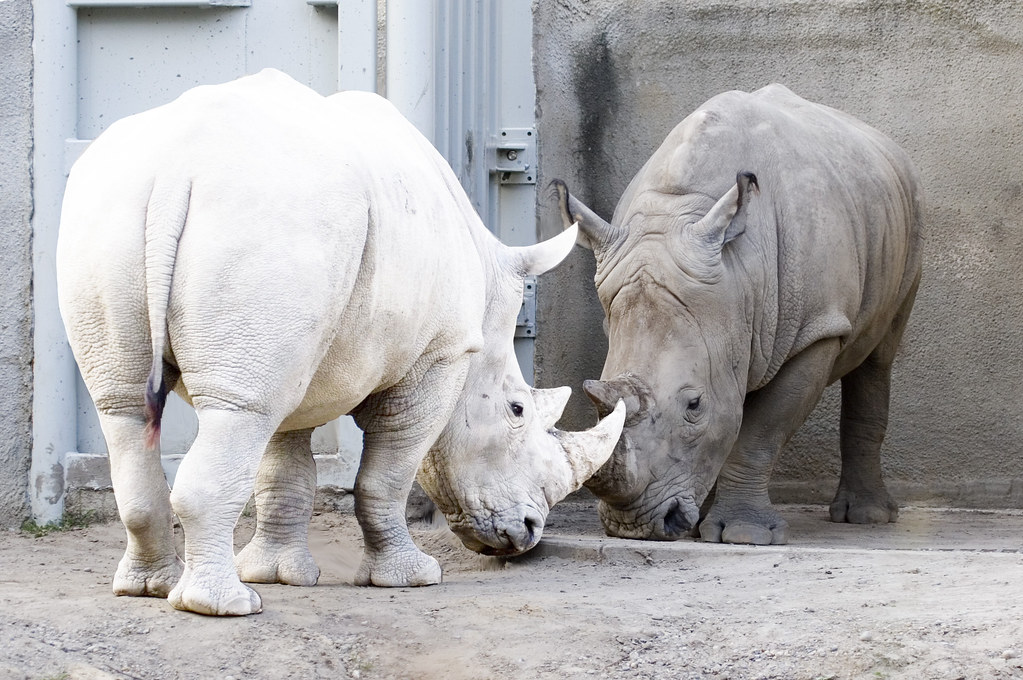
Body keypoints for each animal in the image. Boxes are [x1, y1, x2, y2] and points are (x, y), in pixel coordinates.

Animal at [57, 69, 625, 616]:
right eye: (517, 411)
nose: (529, 532)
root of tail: (178, 167)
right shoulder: (438, 355)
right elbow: (386, 476)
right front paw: (411, 578)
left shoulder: (298, 355)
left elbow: (284, 470)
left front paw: (277, 574)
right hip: (270, 220)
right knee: (238, 411)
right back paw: (225, 607)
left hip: (115, 216)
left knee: (127, 407)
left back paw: (148, 589)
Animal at [555, 84, 922, 545]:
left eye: (695, 405)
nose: (634, 526)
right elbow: (733, 416)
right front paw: (710, 525)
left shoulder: (816, 329)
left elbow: (762, 430)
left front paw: (746, 534)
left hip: (911, 217)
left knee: (879, 355)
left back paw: (867, 517)